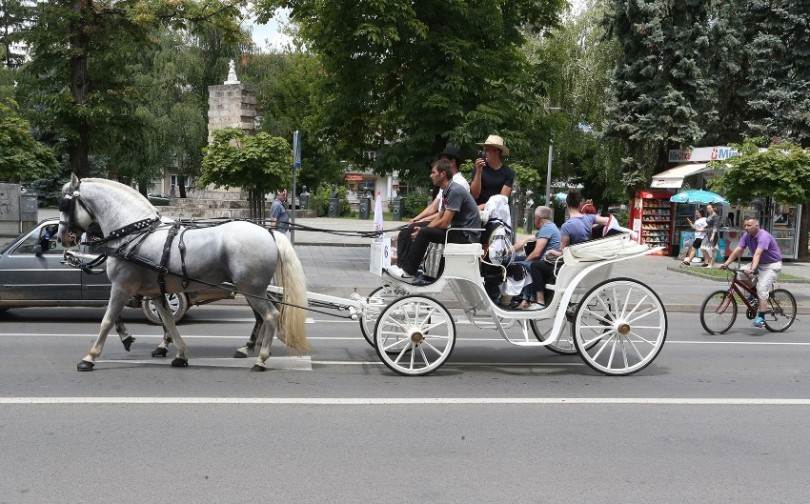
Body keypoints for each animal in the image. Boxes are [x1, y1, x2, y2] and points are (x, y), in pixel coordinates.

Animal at [53, 175, 306, 372]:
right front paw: (179, 354)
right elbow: (168, 322)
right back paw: (251, 349)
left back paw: (261, 359)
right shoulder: (155, 292)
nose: (61, 236)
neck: (134, 233)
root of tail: (268, 231)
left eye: (64, 205)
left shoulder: (121, 287)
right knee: (266, 314)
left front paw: (90, 357)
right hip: (255, 289)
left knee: (271, 315)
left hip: (251, 288)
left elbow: (107, 320)